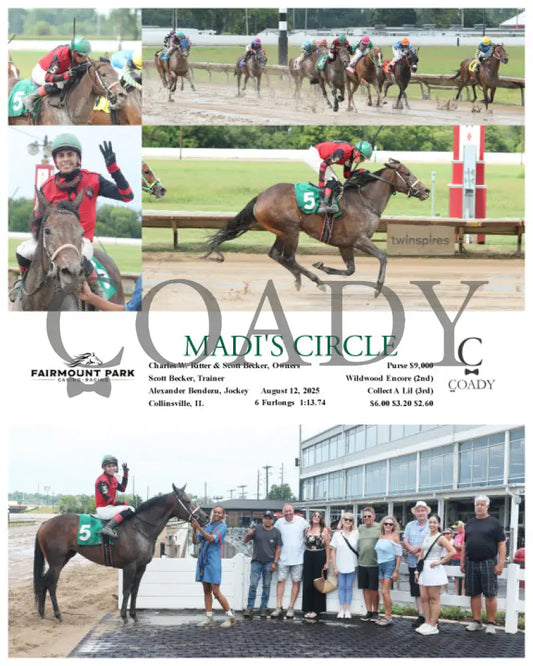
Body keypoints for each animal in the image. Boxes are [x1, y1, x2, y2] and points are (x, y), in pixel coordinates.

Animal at [33, 484, 209, 623]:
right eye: (187, 501)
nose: (205, 517)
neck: (140, 528)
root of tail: (45, 523)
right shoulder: (129, 566)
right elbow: (126, 590)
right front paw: (124, 616)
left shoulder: (141, 567)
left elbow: (135, 591)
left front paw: (134, 615)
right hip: (56, 562)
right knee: (51, 584)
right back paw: (58, 615)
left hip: (64, 558)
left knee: (44, 582)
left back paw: (42, 613)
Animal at [203, 160, 430, 297]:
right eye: (407, 173)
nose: (426, 190)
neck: (365, 201)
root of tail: (260, 196)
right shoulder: (359, 240)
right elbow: (382, 257)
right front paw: (378, 287)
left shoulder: (345, 244)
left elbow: (350, 270)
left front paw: (323, 266)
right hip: (291, 230)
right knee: (288, 258)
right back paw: (315, 281)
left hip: (281, 231)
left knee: (276, 255)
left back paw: (301, 279)